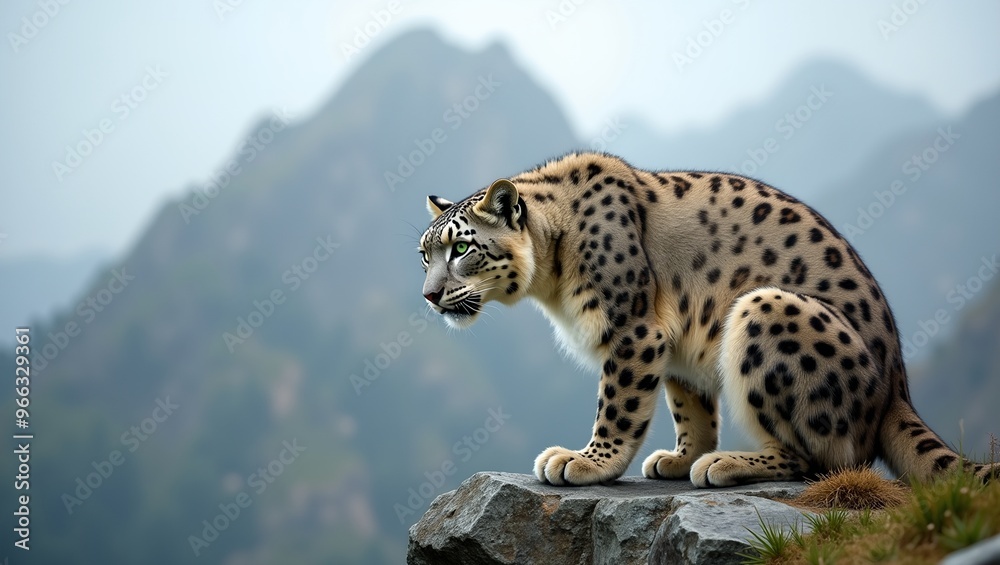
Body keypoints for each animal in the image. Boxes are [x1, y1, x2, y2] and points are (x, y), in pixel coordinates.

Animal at [417, 152, 999, 488]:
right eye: (425, 254)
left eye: (462, 248)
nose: (429, 296)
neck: (552, 282)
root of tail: (897, 388)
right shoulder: (674, 346)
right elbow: (690, 409)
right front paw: (678, 456)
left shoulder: (633, 330)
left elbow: (619, 405)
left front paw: (589, 461)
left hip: (766, 311)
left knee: (826, 459)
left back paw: (729, 464)